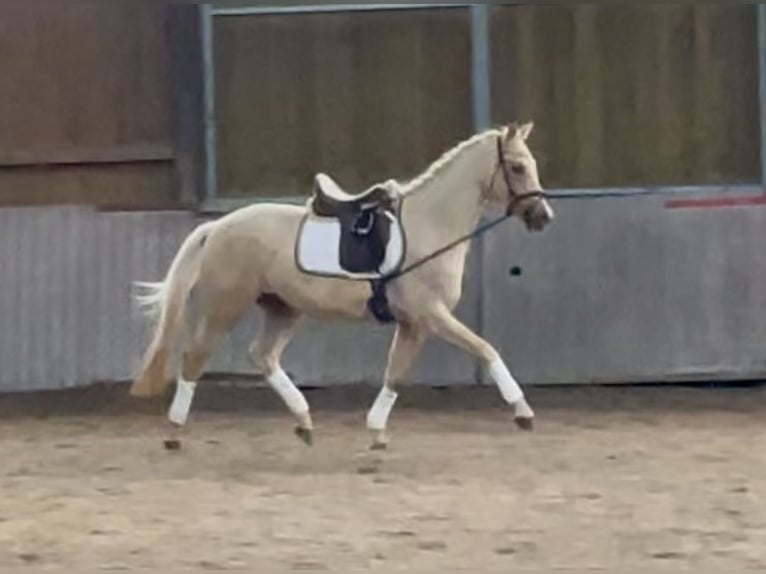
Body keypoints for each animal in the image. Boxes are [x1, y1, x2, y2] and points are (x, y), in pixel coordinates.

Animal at [130, 121, 552, 452]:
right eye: (517, 167)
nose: (543, 216)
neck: (430, 224)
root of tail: (217, 226)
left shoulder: (413, 324)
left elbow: (394, 373)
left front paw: (377, 431)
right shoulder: (431, 315)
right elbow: (486, 349)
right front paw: (523, 412)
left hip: (283, 308)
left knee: (262, 355)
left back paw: (304, 422)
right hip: (227, 306)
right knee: (194, 358)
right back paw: (174, 432)